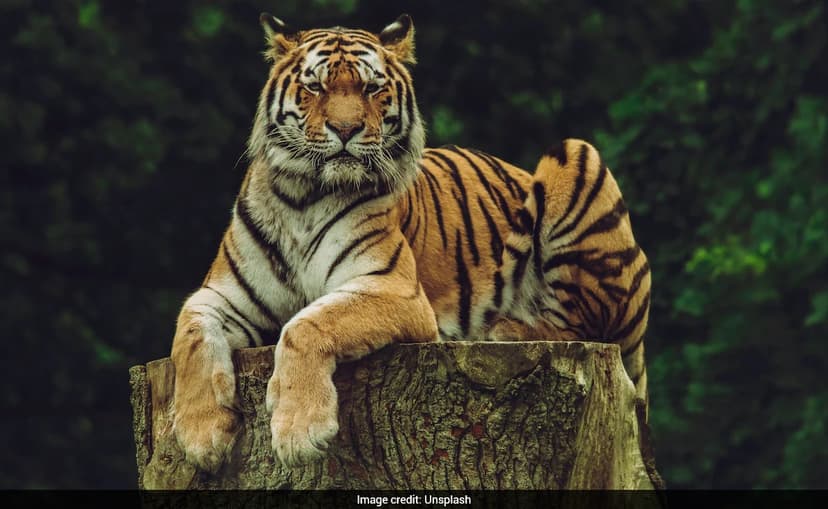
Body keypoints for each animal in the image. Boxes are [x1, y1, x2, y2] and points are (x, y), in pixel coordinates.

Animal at [170, 13, 651, 472]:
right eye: (315, 86)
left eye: (371, 87)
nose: (345, 129)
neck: (302, 197)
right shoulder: (222, 295)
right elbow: (189, 338)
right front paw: (201, 437)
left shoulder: (393, 288)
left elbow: (306, 324)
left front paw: (299, 433)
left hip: (576, 155)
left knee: (586, 323)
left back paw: (505, 328)